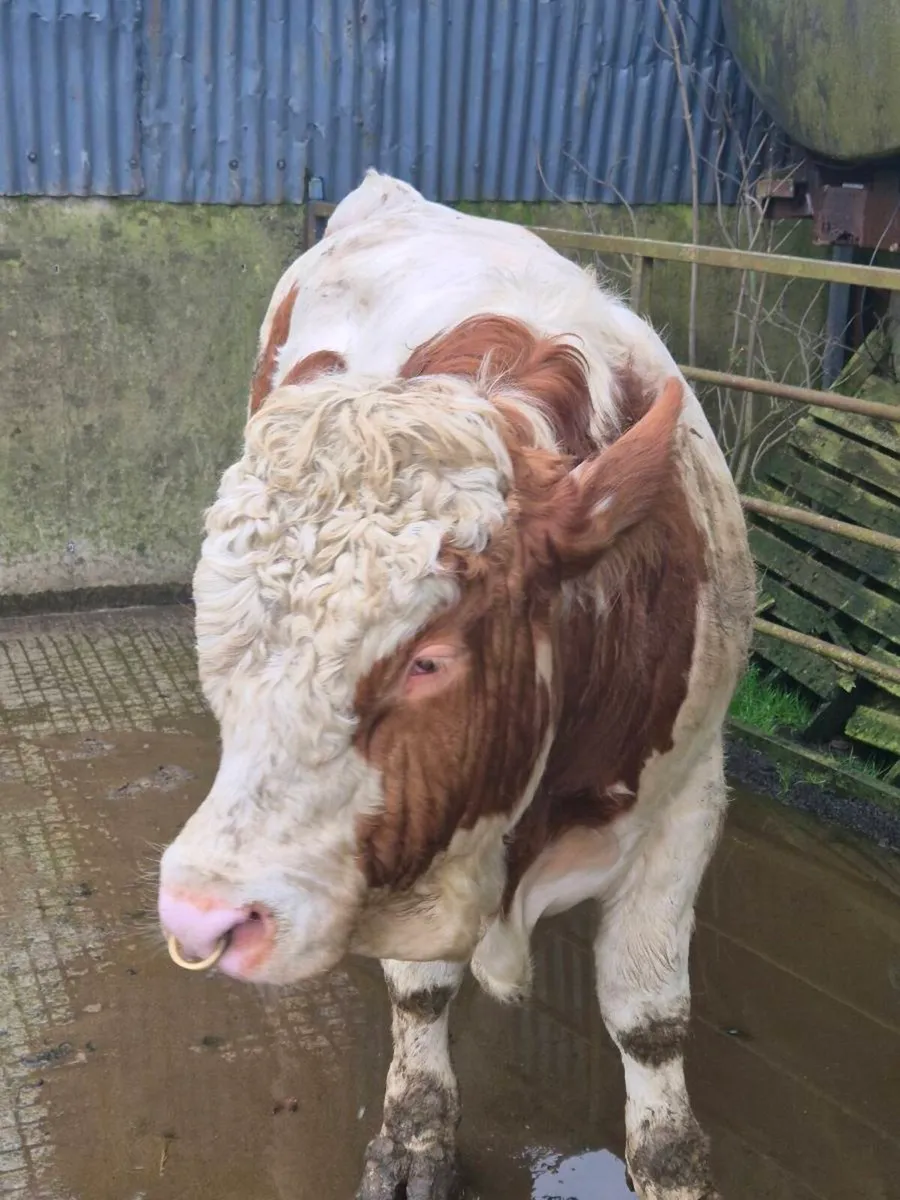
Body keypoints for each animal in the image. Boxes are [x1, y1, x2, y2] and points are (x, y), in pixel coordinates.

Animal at [158, 171, 755, 1200]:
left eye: (429, 658)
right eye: (221, 649)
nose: (201, 915)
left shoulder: (688, 796)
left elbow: (649, 1017)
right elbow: (422, 987)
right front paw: (415, 1135)